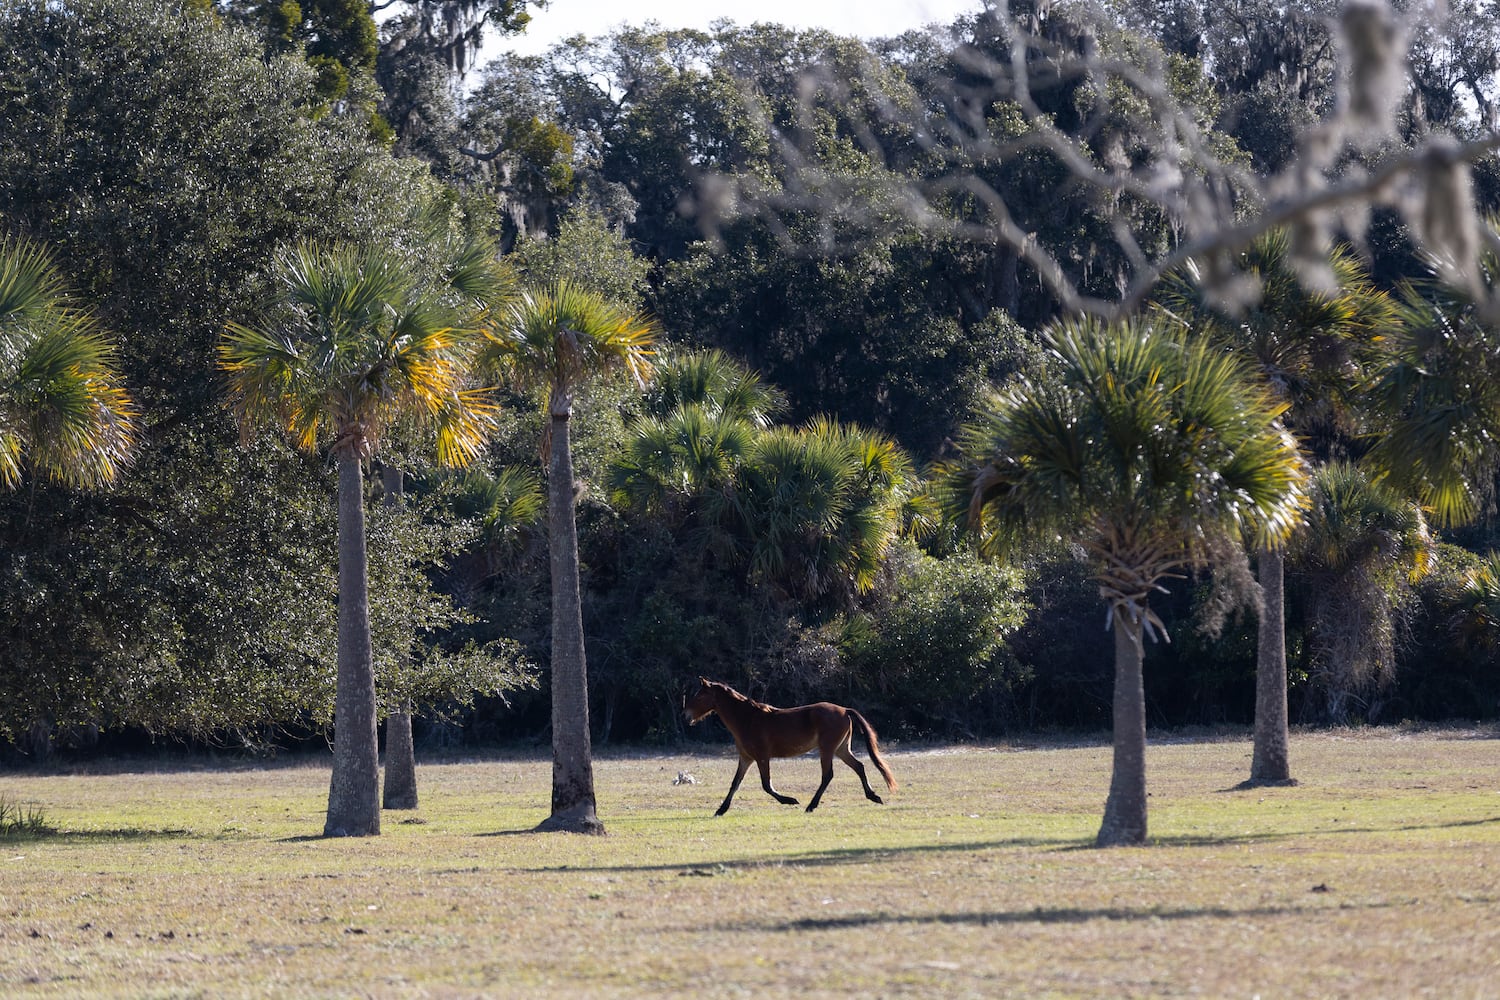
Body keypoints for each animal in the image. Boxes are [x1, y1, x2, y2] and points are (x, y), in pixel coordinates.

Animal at [684, 677, 894, 815]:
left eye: (700, 696)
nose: (685, 714)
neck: (747, 719)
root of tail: (844, 710)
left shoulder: (762, 757)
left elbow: (766, 785)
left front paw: (790, 800)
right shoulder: (746, 758)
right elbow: (735, 783)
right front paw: (721, 809)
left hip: (827, 749)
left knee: (828, 775)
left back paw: (811, 806)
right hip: (841, 749)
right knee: (859, 766)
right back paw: (873, 796)